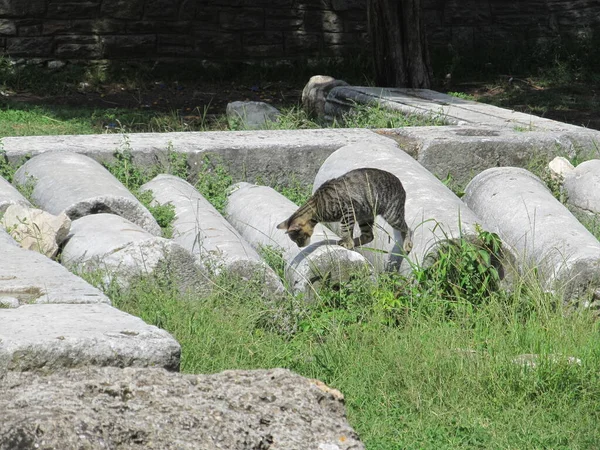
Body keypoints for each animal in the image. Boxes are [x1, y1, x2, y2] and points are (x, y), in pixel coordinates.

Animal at [276, 167, 412, 255]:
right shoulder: (351, 215)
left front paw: (347, 242)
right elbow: (349, 231)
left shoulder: (347, 212)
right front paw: (349, 242)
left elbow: (345, 230)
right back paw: (354, 242)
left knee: (408, 229)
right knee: (369, 236)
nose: (299, 246)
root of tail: (400, 182)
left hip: (392, 215)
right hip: (365, 217)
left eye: (298, 239)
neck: (317, 205)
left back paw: (407, 244)